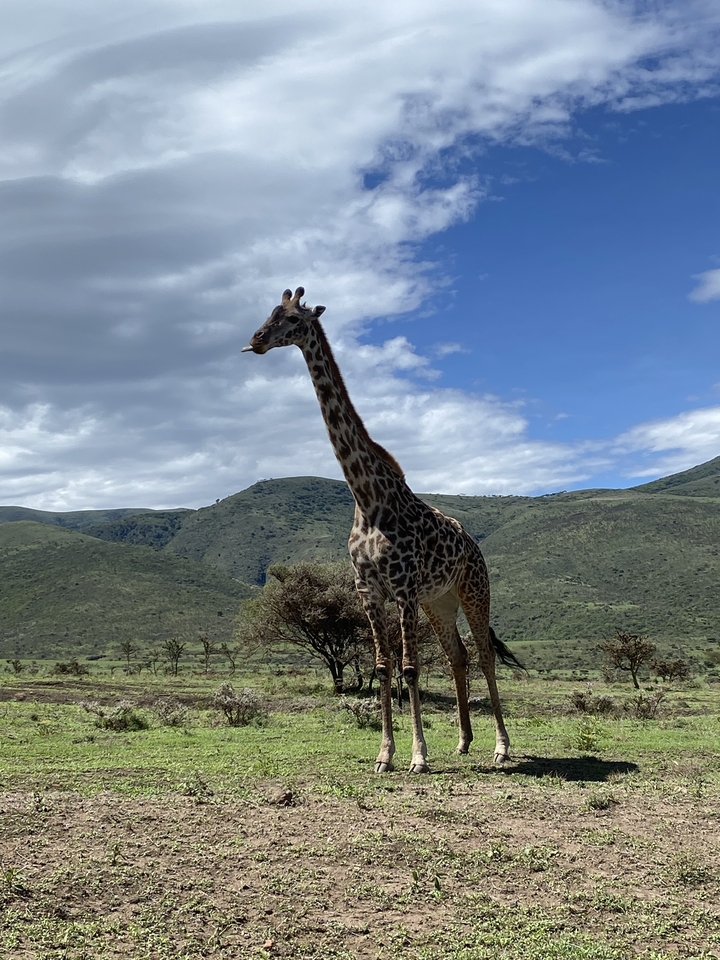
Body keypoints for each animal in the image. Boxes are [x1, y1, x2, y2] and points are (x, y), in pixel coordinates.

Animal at [243, 287, 521, 773]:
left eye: (293, 319)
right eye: (270, 312)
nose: (256, 340)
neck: (367, 498)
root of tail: (474, 545)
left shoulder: (403, 588)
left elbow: (409, 668)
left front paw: (418, 756)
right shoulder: (369, 590)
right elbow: (382, 667)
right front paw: (385, 755)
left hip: (473, 590)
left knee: (485, 654)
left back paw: (502, 748)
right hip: (439, 601)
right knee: (458, 655)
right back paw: (464, 742)